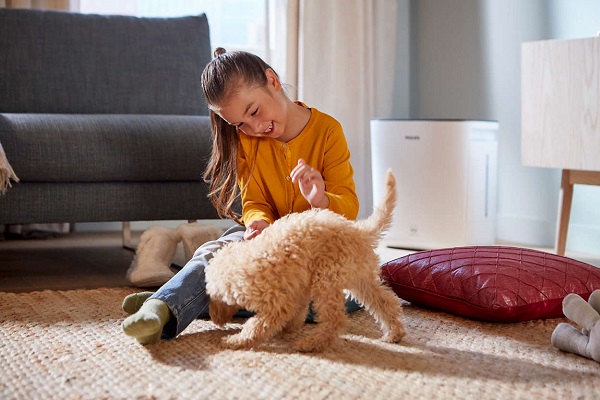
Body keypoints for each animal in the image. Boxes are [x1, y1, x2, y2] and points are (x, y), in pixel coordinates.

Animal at [204, 170, 406, 352]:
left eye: (214, 296)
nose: (215, 319)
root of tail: (358, 231)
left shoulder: (278, 302)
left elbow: (256, 325)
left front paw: (236, 340)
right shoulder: (297, 290)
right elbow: (296, 313)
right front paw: (288, 328)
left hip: (327, 278)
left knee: (335, 319)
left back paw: (311, 344)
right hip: (359, 277)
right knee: (386, 301)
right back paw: (394, 333)